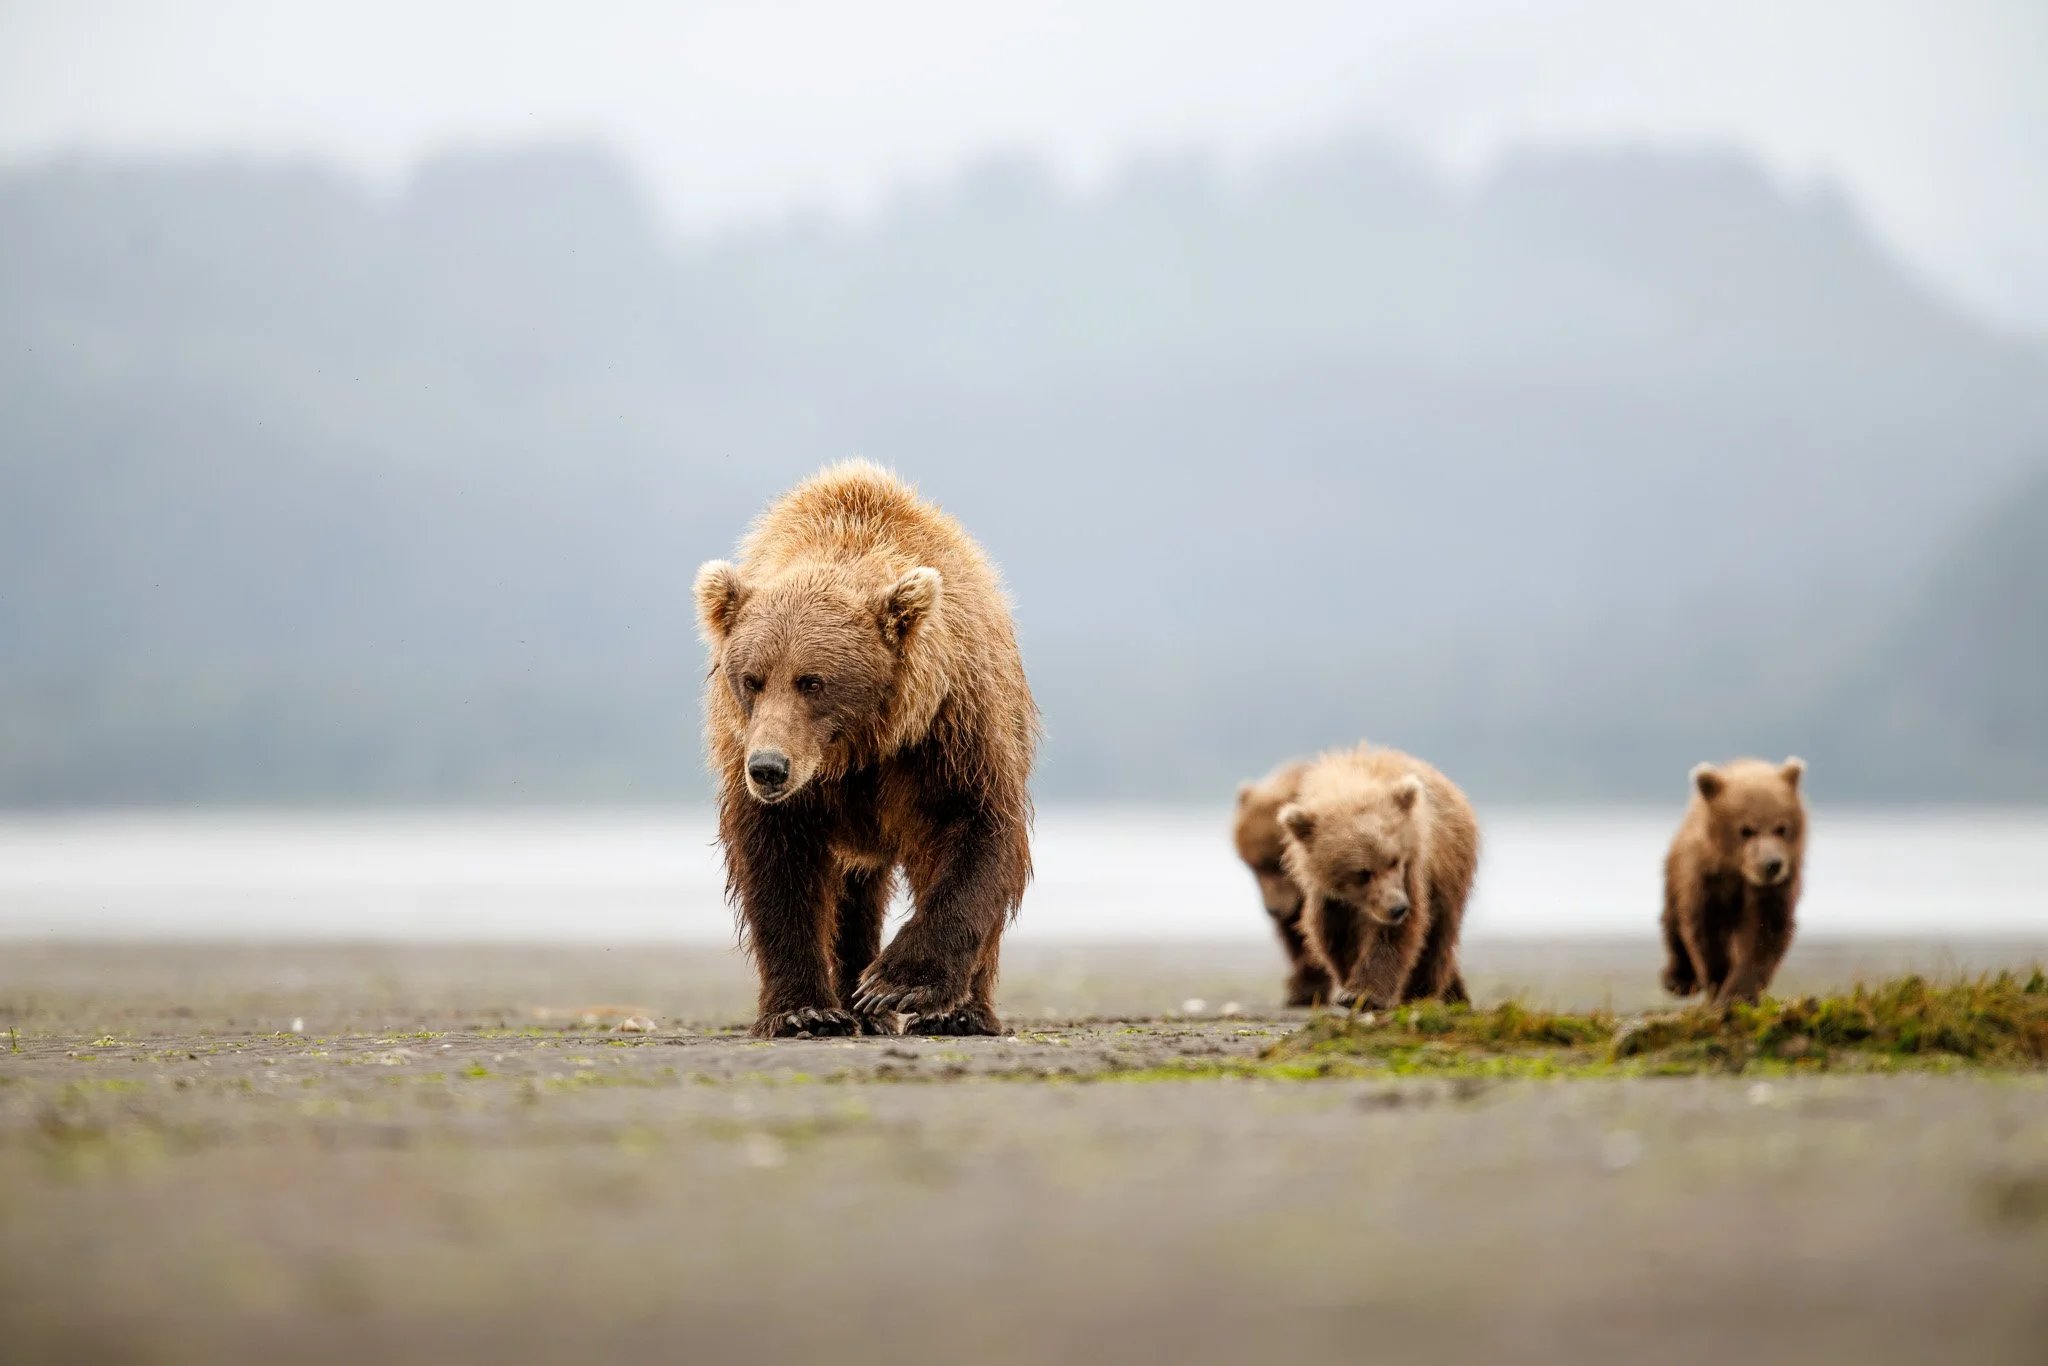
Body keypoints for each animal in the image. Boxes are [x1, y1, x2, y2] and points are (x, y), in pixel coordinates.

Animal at [693, 461, 1040, 1039]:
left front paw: (898, 984)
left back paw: (958, 1012)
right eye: (752, 679)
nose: (768, 768)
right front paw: (805, 1010)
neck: (857, 750)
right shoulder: (762, 759)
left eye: (813, 682)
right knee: (855, 894)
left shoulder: (948, 732)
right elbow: (778, 865)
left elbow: (978, 831)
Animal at [1232, 760, 1333, 1006]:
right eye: (1254, 866)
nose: (1272, 909)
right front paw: (1301, 989)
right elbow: (1291, 932)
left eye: (1280, 863)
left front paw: (1307, 986)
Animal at [1276, 743, 1478, 1010]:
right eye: (1362, 873)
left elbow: (1393, 935)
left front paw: (1363, 993)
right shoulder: (1329, 895)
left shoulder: (1412, 871)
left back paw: (1422, 992)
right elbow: (1334, 934)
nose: (1398, 908)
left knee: (1437, 935)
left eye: (1394, 860)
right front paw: (1349, 986)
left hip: (1449, 868)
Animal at [1661, 756, 1807, 1006]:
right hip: (1676, 868)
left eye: (1781, 828)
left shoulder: (1775, 890)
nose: (1772, 864)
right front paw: (1719, 983)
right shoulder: (1707, 879)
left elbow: (1764, 934)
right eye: (1746, 830)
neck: (1739, 871)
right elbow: (1707, 932)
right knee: (1674, 916)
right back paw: (1679, 979)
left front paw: (1738, 994)